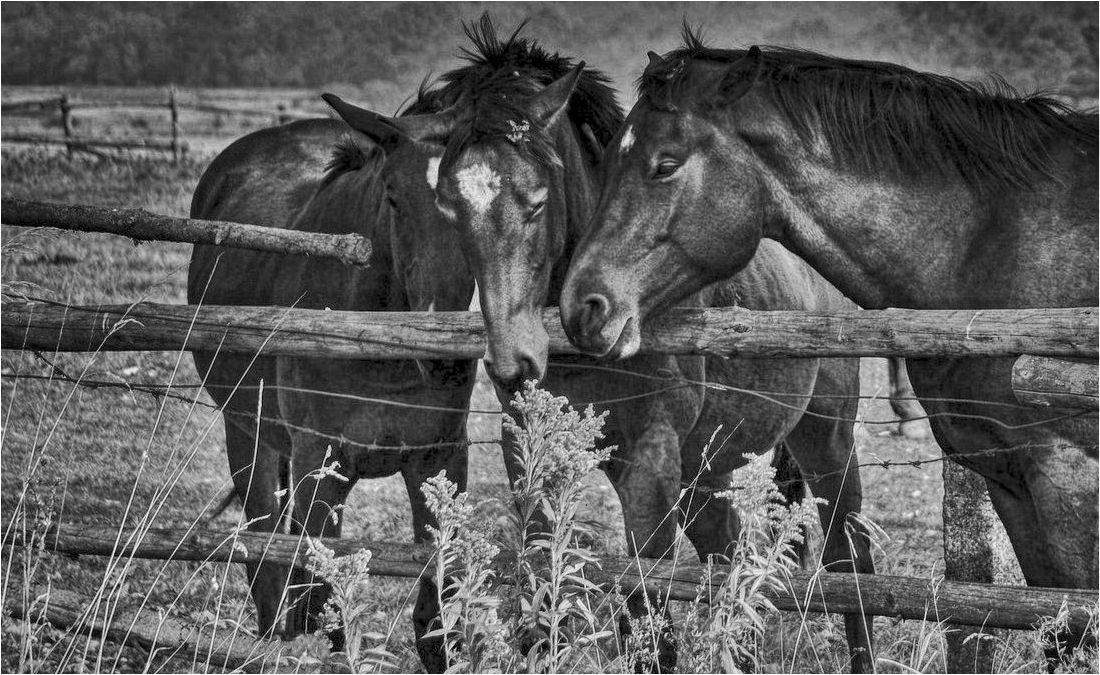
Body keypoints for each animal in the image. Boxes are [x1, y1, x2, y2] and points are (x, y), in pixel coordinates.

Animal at [188, 100, 477, 672]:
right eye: (393, 197)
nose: (447, 356)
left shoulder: (440, 458)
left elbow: (438, 610)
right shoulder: (320, 459)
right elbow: (324, 601)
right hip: (250, 432)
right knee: (265, 554)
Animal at [321, 18, 875, 672]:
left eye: (538, 200)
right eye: (450, 206)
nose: (514, 362)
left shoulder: (651, 456)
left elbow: (650, 596)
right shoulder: (530, 449)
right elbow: (544, 566)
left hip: (826, 436)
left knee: (850, 560)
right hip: (712, 466)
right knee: (730, 563)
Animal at [563, 30, 1095, 659]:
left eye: (664, 165)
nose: (582, 306)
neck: (994, 246)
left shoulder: (1069, 477)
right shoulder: (1010, 479)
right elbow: (1056, 622)